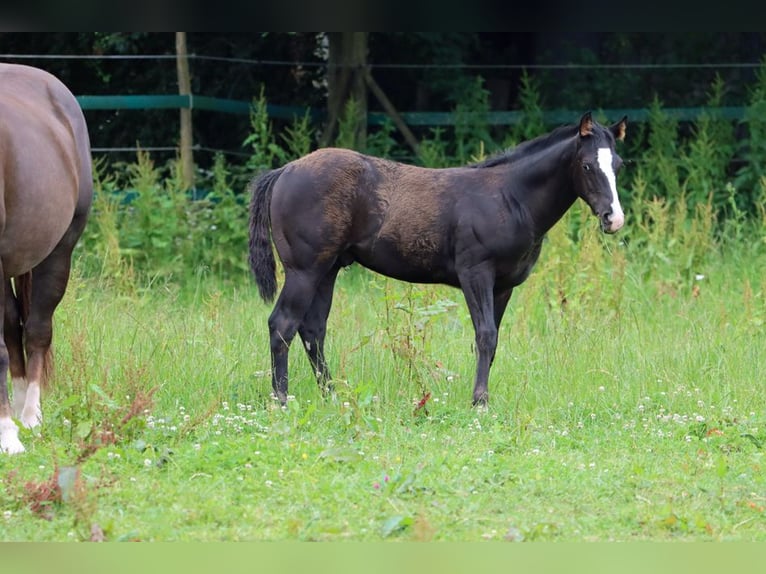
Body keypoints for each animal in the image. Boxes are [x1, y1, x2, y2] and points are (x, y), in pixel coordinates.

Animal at [248, 112, 626, 407]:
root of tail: (284, 171)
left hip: (327, 270)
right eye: (587, 165)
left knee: (313, 330)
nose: (614, 219)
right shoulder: (475, 274)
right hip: (304, 271)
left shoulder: (503, 287)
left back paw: (332, 396)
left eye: (619, 165)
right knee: (282, 324)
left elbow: (492, 340)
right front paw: (479, 402)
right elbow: (485, 334)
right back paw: (281, 400)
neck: (510, 196)